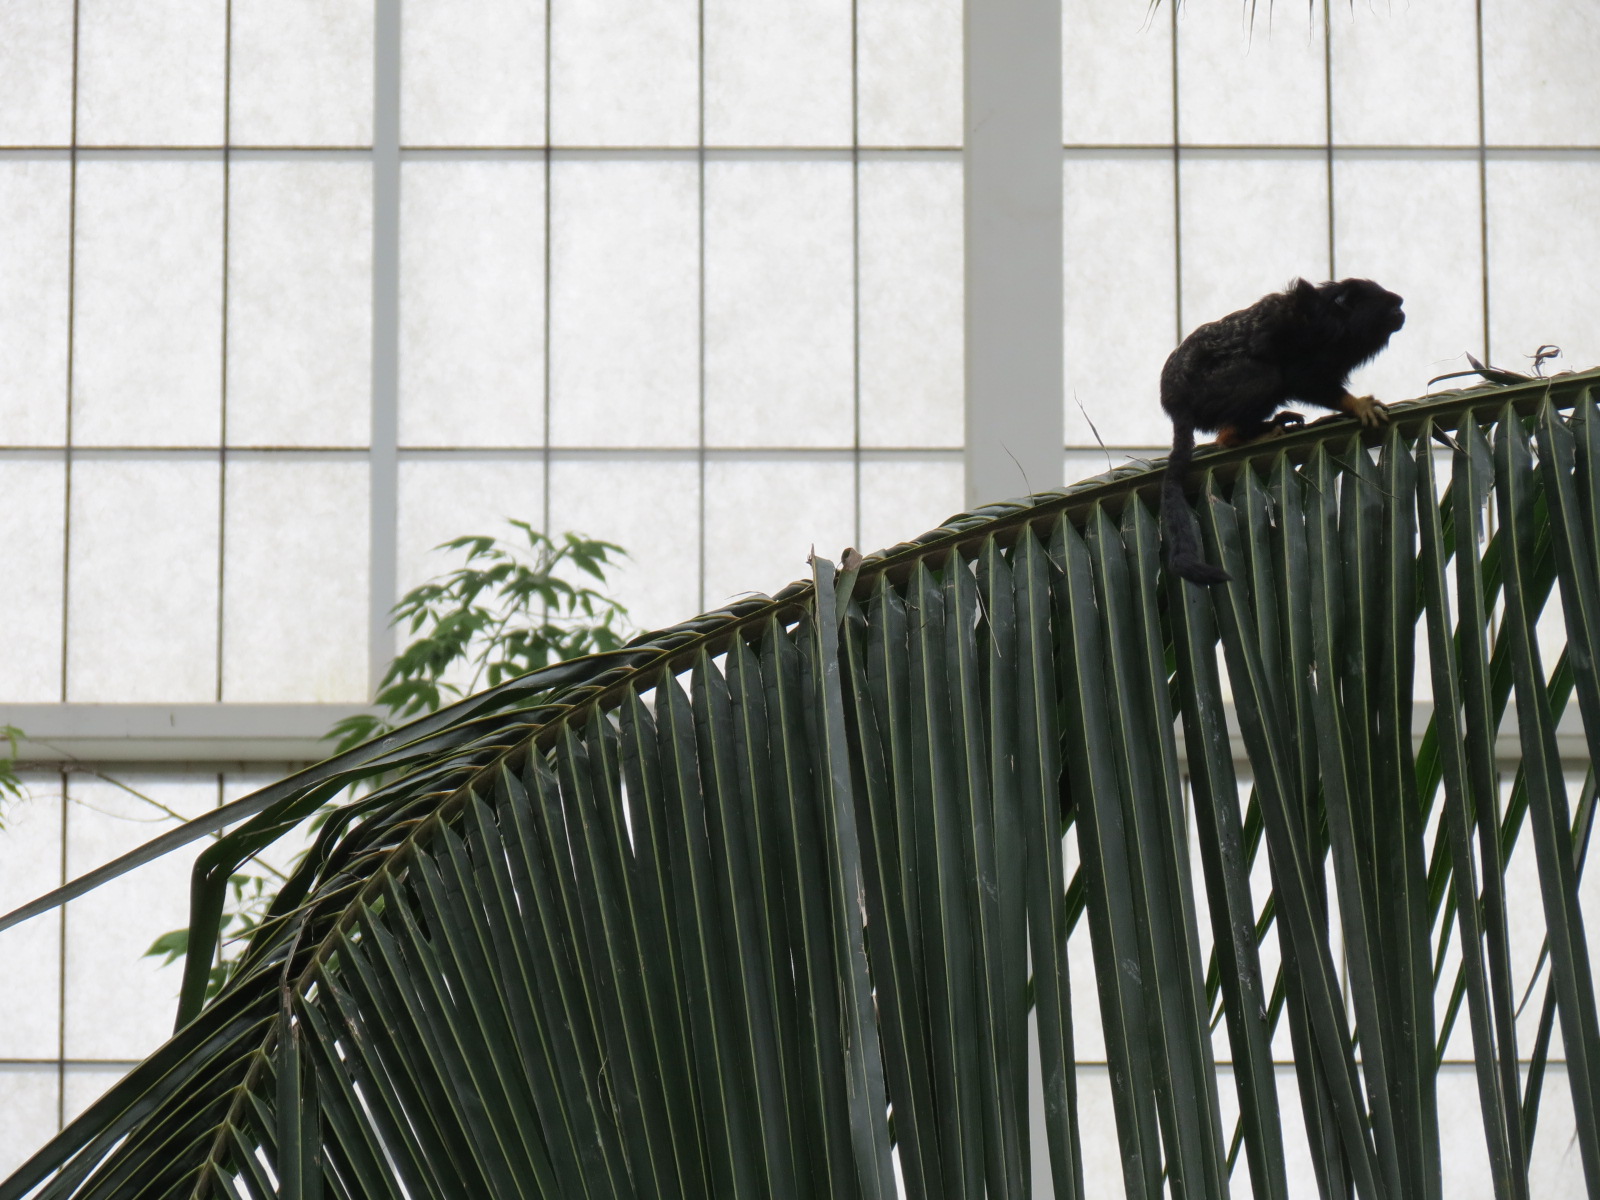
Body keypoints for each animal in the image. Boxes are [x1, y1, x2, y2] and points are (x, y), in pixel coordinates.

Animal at [1159, 277, 1406, 584]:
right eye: (1391, 307)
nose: (1401, 312)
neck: (1339, 319)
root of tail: (1174, 402)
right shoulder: (1318, 336)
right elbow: (1301, 378)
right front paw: (1357, 405)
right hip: (1211, 389)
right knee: (1268, 376)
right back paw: (1239, 437)